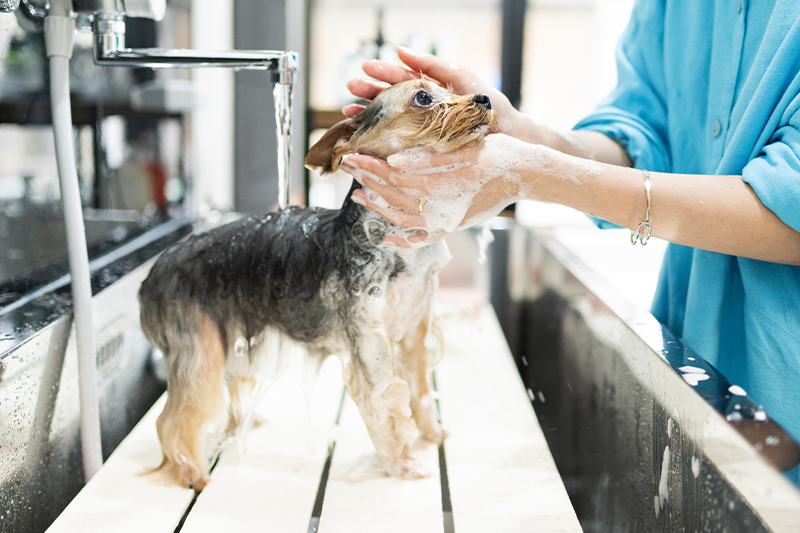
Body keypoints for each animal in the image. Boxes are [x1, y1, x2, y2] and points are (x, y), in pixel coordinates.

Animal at [138, 79, 494, 490]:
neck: (397, 241)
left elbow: (419, 391)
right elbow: (386, 405)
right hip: (198, 347)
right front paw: (401, 465)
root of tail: (152, 275)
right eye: (423, 97)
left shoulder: (414, 333)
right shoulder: (370, 344)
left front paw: (433, 435)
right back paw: (191, 472)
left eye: (447, 87)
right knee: (172, 417)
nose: (485, 97)